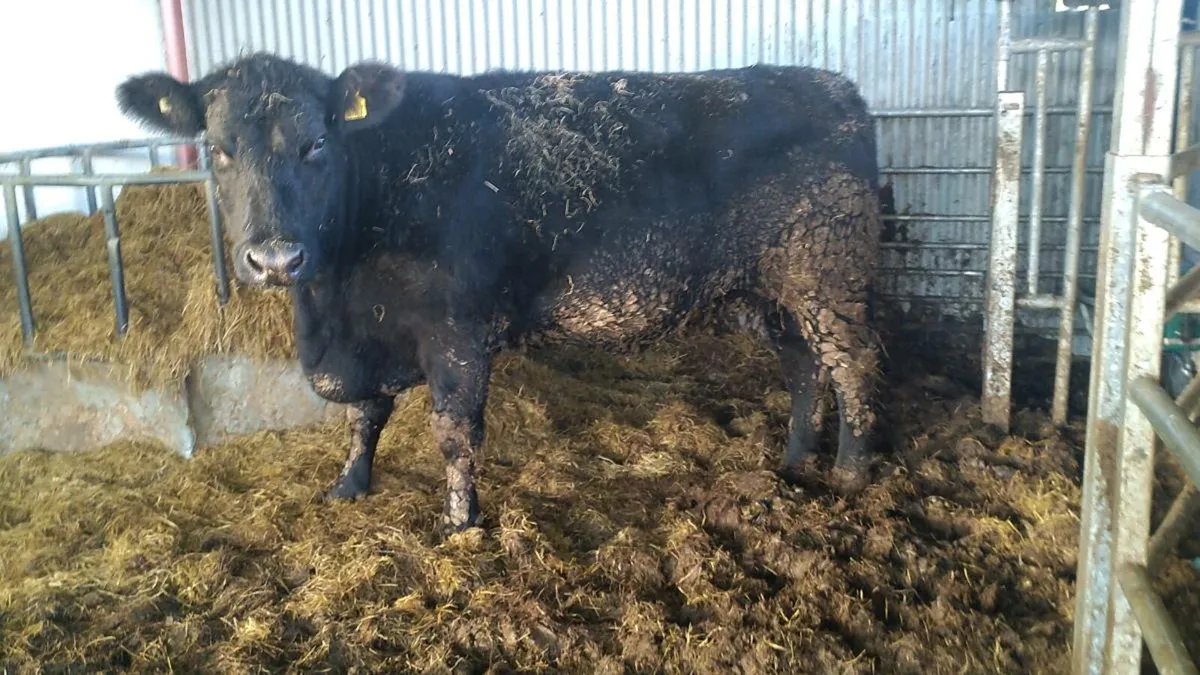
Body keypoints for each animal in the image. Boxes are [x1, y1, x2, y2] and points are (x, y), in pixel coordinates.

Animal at [116, 52, 883, 533]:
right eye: (218, 149)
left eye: (317, 144)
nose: (275, 257)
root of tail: (837, 88)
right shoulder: (370, 333)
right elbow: (364, 417)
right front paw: (348, 485)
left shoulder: (456, 330)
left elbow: (454, 433)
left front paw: (460, 522)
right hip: (773, 294)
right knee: (804, 367)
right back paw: (793, 458)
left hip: (830, 276)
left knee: (855, 366)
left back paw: (849, 473)